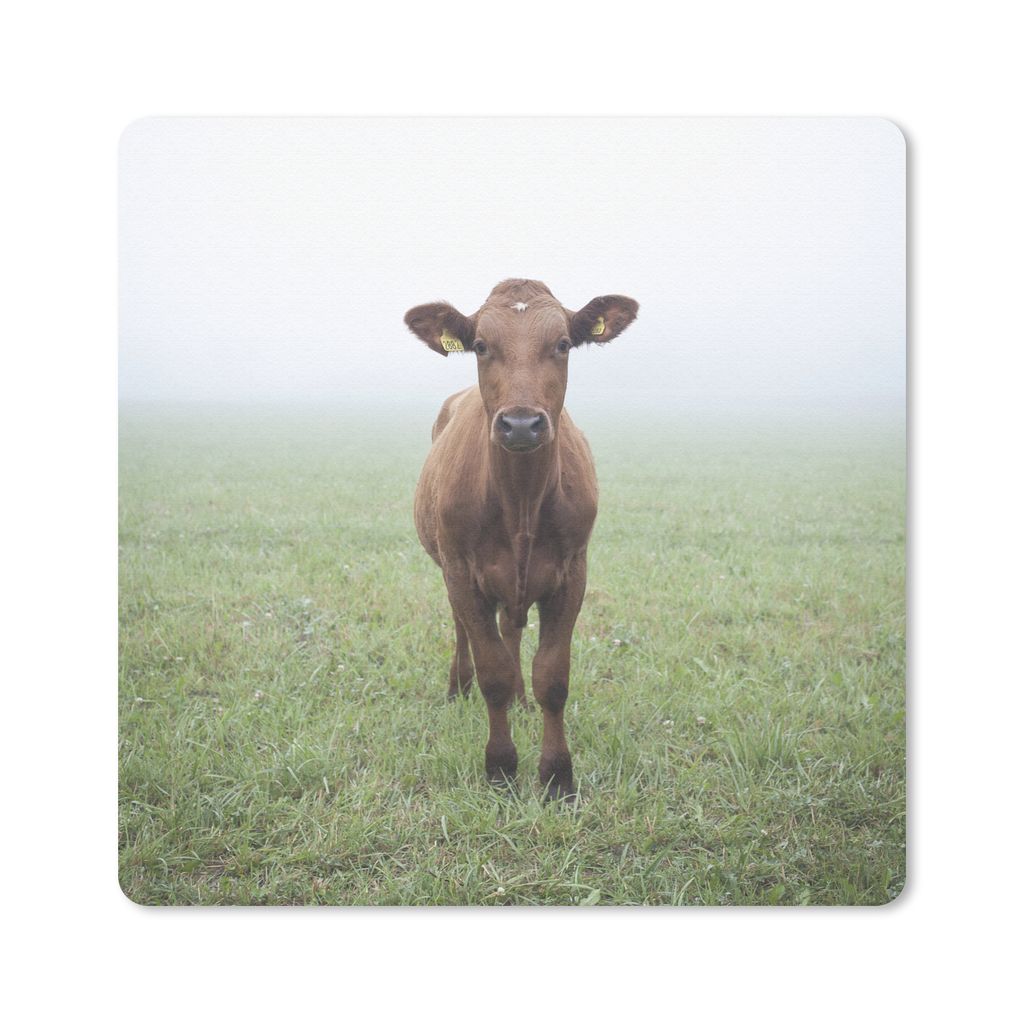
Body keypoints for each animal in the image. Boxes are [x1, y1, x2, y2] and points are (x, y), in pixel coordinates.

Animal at [405, 279, 639, 800]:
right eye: (480, 345)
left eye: (563, 344)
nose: (520, 424)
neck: (521, 503)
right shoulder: (462, 572)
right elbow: (492, 672)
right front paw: (501, 767)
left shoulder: (572, 572)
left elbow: (552, 677)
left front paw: (556, 776)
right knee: (464, 632)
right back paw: (458, 689)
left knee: (512, 631)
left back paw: (521, 700)